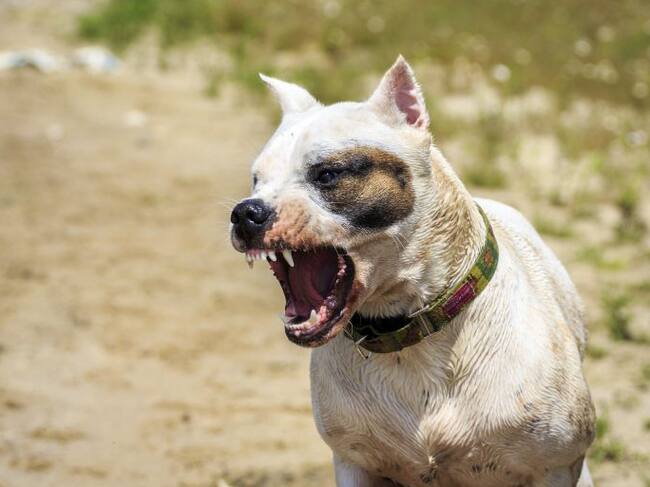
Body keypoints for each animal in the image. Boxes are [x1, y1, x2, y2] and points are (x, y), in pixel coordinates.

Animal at [230, 56, 595, 487]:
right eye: (256, 179)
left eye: (328, 175)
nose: (245, 212)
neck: (409, 329)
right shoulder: (355, 463)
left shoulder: (554, 465)